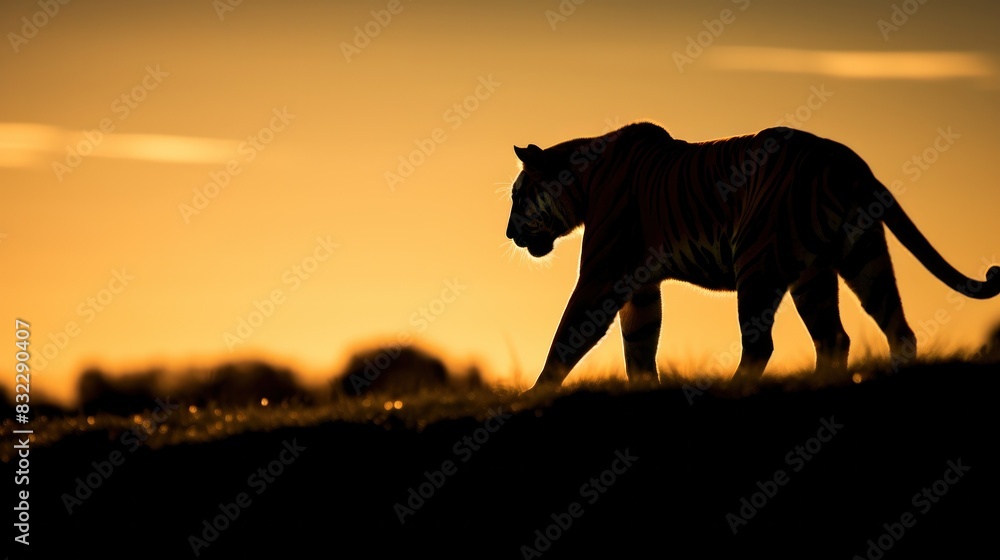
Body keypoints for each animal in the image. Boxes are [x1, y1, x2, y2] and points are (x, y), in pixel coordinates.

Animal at [505, 122, 1000, 391]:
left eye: (516, 196)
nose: (509, 234)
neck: (584, 183)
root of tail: (844, 158)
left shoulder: (602, 275)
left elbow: (568, 336)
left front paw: (536, 394)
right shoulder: (640, 286)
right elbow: (639, 346)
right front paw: (645, 390)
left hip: (759, 263)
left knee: (763, 344)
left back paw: (732, 388)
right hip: (850, 262)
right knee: (872, 332)